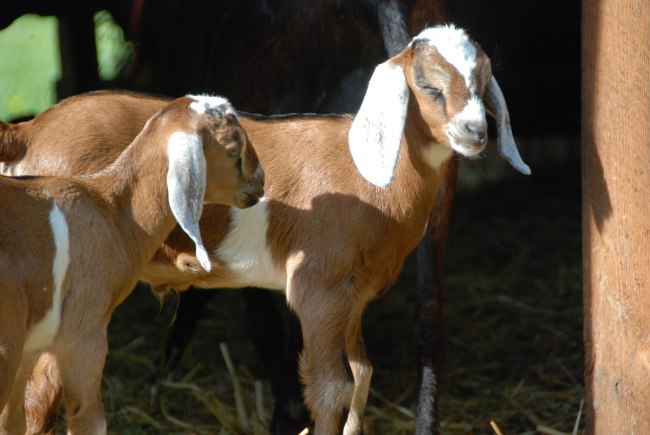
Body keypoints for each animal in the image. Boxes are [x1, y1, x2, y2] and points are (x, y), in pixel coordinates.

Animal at [0, 95, 264, 434]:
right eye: (232, 147)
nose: (260, 181)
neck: (111, 210)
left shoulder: (29, 349)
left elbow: (13, 422)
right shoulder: (83, 336)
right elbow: (90, 422)